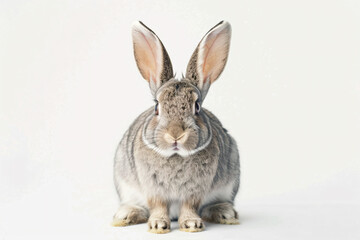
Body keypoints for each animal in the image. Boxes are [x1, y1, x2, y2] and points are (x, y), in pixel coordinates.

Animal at [112, 19, 240, 233]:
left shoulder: (195, 191)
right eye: (157, 106)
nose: (175, 134)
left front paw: (191, 224)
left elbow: (190, 207)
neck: (176, 155)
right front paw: (157, 225)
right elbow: (158, 206)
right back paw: (125, 215)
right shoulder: (153, 189)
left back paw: (224, 213)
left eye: (197, 107)